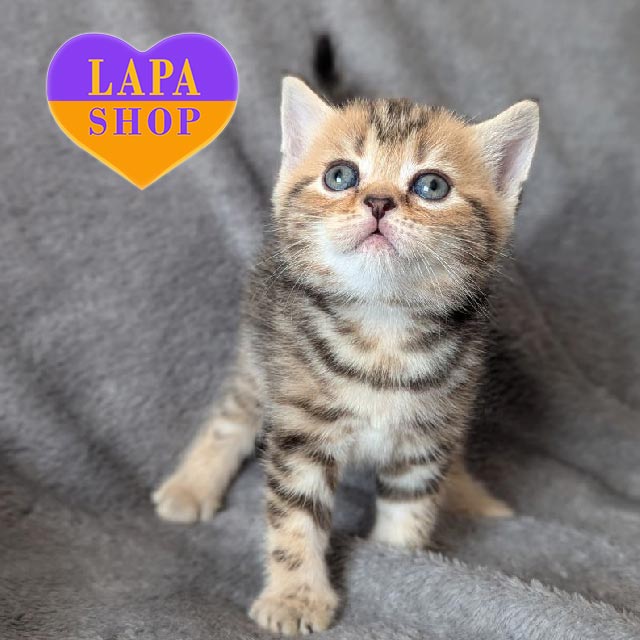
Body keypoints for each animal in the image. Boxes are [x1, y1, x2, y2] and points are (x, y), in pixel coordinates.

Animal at [152, 77, 539, 635]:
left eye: (432, 186)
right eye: (340, 176)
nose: (377, 201)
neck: (382, 331)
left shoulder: (425, 439)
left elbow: (411, 511)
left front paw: (400, 566)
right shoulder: (301, 433)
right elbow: (295, 522)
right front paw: (295, 598)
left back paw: (468, 493)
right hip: (259, 356)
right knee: (230, 417)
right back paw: (191, 486)